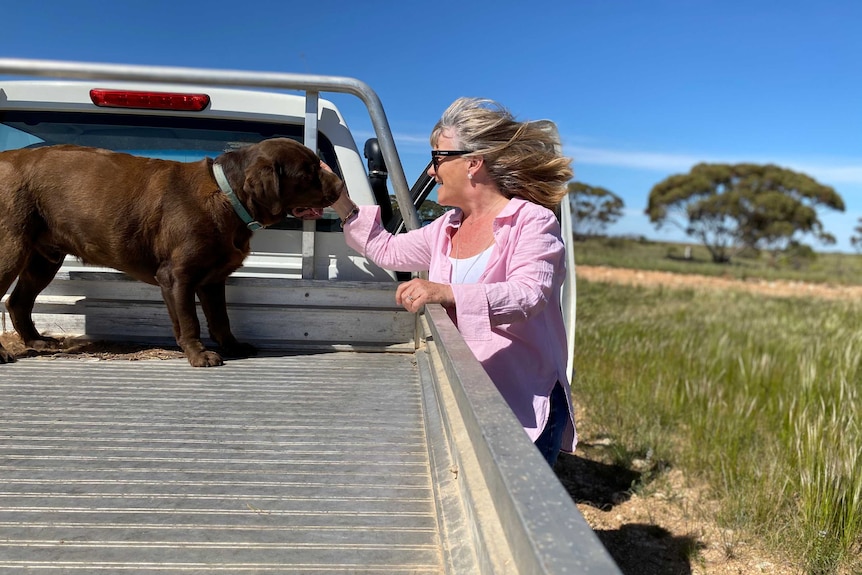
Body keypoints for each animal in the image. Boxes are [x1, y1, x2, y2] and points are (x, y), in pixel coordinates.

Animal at [0, 137, 342, 366]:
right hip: (11, 248)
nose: (340, 187)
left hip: (44, 258)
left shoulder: (212, 280)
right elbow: (189, 320)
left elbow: (221, 318)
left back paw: (36, 341)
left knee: (18, 302)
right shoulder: (177, 276)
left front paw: (231, 346)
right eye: (308, 173)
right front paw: (199, 354)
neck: (228, 196)